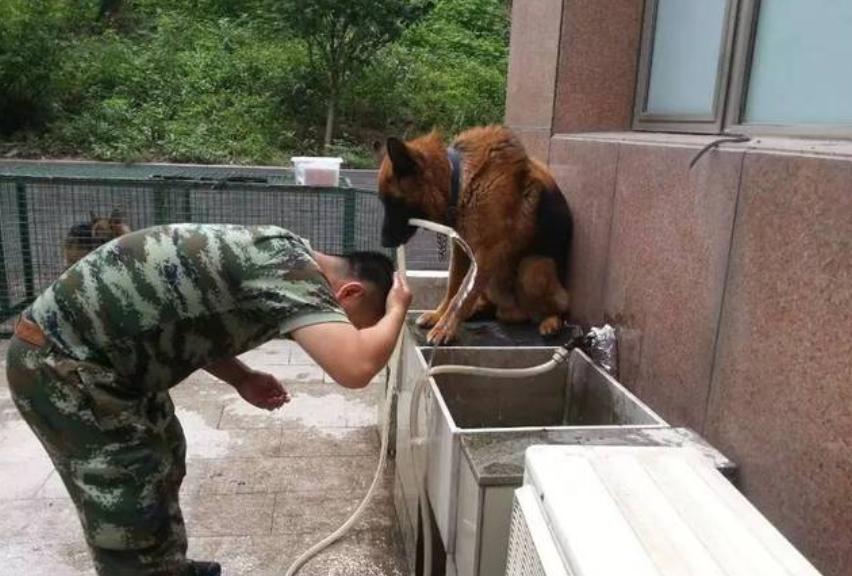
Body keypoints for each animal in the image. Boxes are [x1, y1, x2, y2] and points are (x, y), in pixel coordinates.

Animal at [380, 125, 572, 342]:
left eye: (393, 201)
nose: (383, 241)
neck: (459, 179)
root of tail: (512, 313)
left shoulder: (487, 252)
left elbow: (463, 296)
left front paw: (445, 327)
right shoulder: (461, 248)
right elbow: (454, 285)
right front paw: (439, 315)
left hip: (533, 267)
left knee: (558, 305)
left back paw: (551, 320)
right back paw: (479, 310)